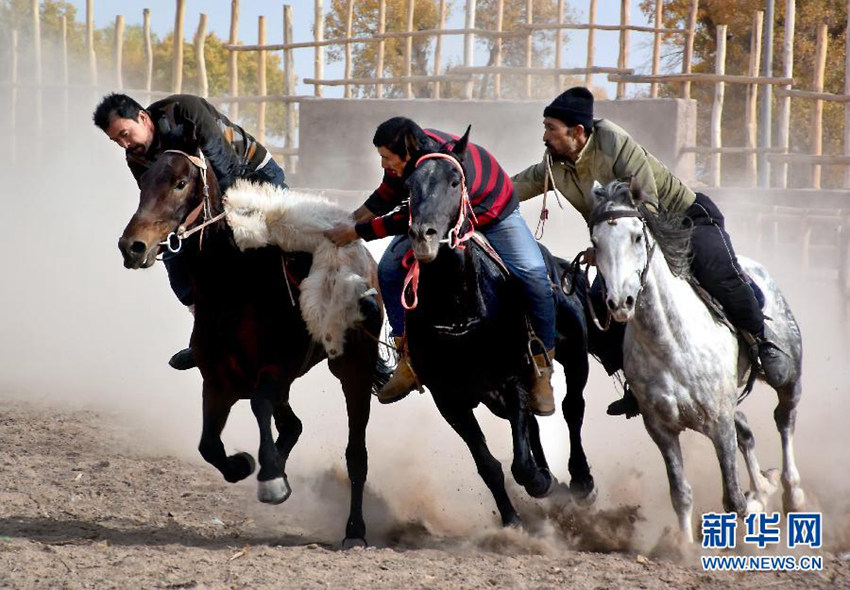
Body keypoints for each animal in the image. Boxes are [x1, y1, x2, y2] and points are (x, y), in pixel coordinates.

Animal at [117, 150, 388, 548]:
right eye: (143, 181)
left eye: (180, 183)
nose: (132, 246)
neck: (233, 289)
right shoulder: (217, 382)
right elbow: (209, 445)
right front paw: (246, 465)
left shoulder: (276, 369)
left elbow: (259, 405)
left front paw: (272, 481)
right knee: (293, 426)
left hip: (353, 366)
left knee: (356, 453)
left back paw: (354, 530)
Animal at [584, 179, 800, 544]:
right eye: (595, 242)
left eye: (637, 237)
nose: (620, 302)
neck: (670, 342)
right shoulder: (661, 429)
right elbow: (680, 492)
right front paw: (684, 545)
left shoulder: (719, 422)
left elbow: (733, 497)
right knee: (749, 430)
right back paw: (765, 487)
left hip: (789, 375)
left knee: (784, 419)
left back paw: (792, 494)